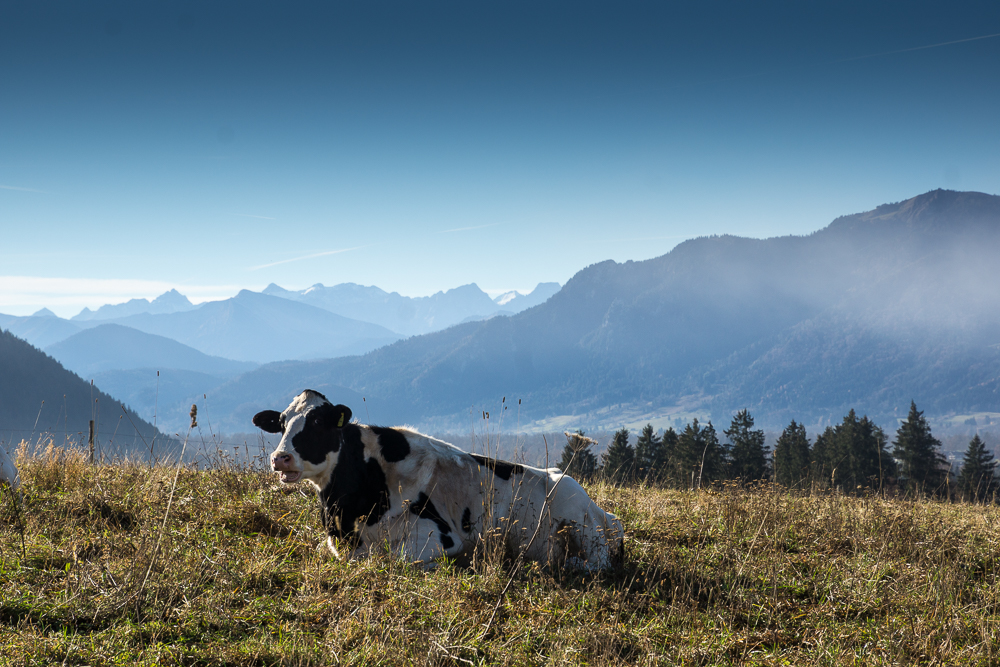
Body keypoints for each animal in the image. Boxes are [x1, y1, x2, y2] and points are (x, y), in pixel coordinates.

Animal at [254, 388, 620, 572]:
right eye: (282, 423)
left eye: (318, 422)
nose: (280, 458)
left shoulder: (440, 535)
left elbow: (396, 559)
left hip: (578, 516)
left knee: (595, 563)